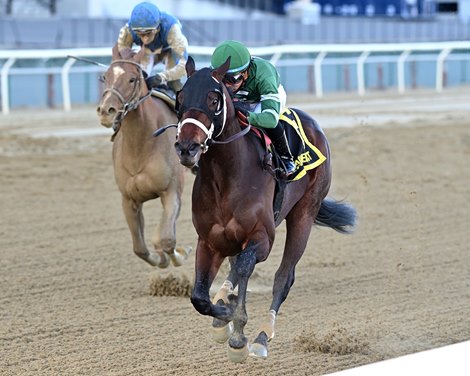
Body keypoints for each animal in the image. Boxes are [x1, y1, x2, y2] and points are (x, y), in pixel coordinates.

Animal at [96, 44, 192, 268]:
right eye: (105, 76)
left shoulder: (172, 191)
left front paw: (180, 254)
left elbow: (166, 239)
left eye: (132, 79)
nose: (106, 111)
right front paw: (161, 259)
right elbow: (140, 248)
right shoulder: (129, 199)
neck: (141, 146)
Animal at [173, 55, 356, 362]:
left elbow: (247, 266)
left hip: (304, 214)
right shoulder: (209, 240)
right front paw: (224, 313)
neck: (226, 176)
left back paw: (261, 336)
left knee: (283, 277)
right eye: (180, 96)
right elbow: (199, 296)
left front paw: (238, 329)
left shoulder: (263, 236)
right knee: (235, 268)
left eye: (214, 99)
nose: (187, 147)